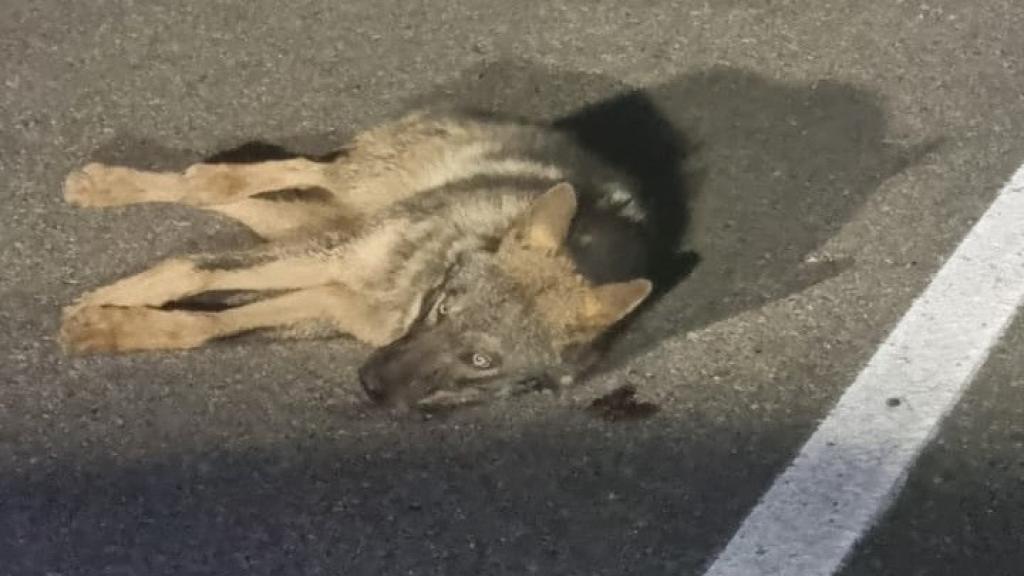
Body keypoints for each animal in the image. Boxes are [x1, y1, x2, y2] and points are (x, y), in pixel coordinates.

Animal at [59, 110, 669, 408]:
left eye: (480, 361)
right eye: (445, 309)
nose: (371, 386)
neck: (409, 294)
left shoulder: (332, 298)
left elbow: (203, 326)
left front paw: (111, 327)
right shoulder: (337, 264)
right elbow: (190, 268)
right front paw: (106, 303)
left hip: (325, 224)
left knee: (249, 205)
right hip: (353, 197)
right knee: (293, 170)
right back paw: (124, 183)